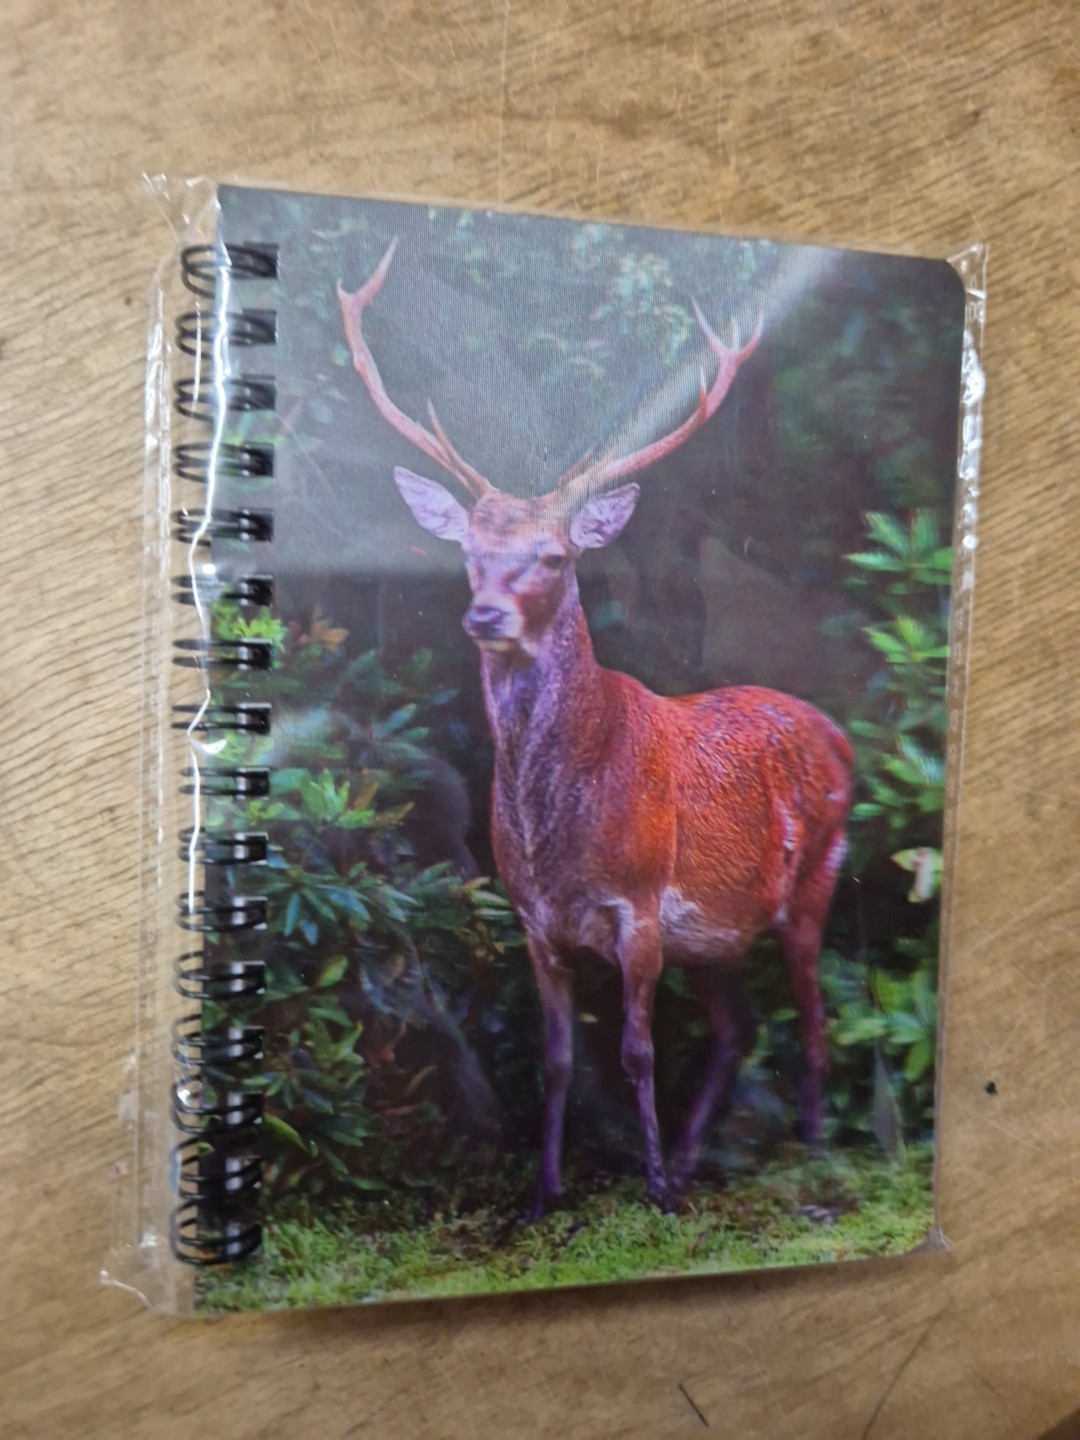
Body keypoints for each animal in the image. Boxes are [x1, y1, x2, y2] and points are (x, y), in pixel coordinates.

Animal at [337, 239, 855, 1216]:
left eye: (552, 555)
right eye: (470, 553)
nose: (486, 616)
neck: (557, 836)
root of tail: (841, 737)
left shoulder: (641, 906)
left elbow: (636, 1052)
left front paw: (652, 1192)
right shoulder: (533, 920)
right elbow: (556, 1059)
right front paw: (546, 1192)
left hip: (814, 879)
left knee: (812, 1019)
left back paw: (809, 1152)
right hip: (718, 937)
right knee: (739, 1028)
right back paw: (696, 1159)